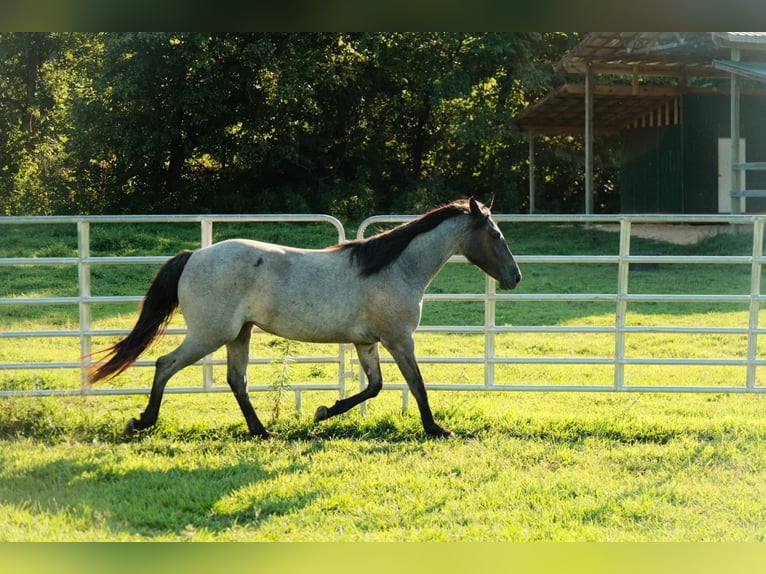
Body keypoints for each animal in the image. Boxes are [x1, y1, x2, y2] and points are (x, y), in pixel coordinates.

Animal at [88, 197, 522, 438]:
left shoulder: (366, 342)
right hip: (210, 334)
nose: (515, 277)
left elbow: (374, 387)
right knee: (165, 364)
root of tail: (193, 255)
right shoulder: (399, 340)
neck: (394, 267)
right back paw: (142, 422)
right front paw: (436, 429)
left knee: (236, 380)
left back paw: (261, 431)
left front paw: (324, 411)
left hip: (239, 334)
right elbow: (416, 385)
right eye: (496, 234)